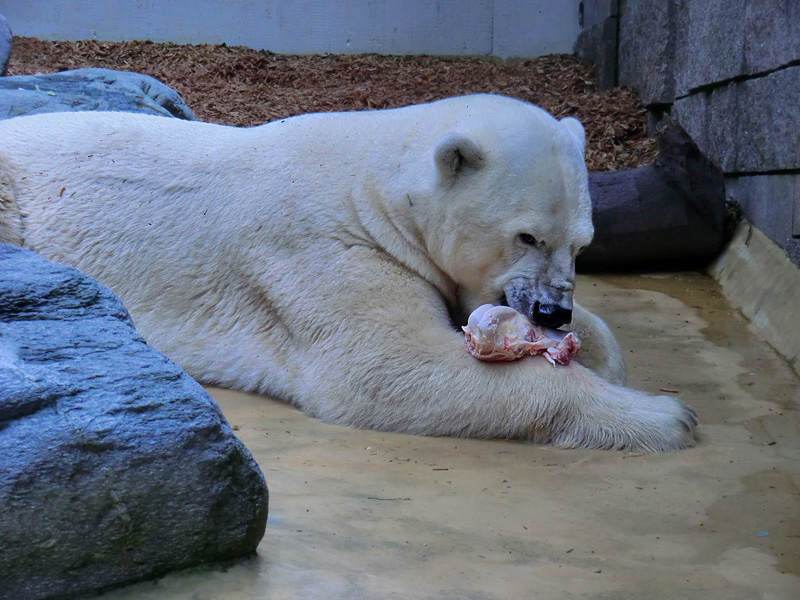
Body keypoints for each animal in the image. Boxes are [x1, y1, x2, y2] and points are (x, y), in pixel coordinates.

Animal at [0, 95, 696, 450]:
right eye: (527, 235)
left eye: (583, 242)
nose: (552, 310)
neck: (377, 189)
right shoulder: (323, 247)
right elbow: (389, 366)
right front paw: (665, 416)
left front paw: (595, 351)